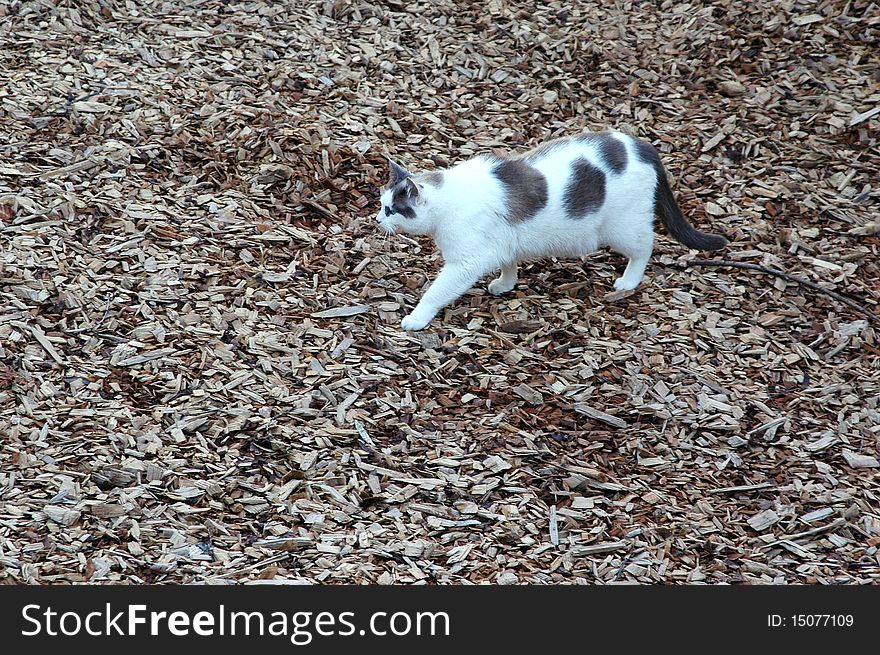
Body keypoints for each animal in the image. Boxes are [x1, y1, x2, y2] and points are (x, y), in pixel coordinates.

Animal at [378, 131, 728, 334]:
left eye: (391, 210)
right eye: (382, 205)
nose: (377, 219)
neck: (448, 199)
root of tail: (641, 145)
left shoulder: (465, 263)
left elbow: (435, 293)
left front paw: (417, 318)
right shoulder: (502, 243)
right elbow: (509, 263)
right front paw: (505, 284)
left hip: (622, 227)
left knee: (645, 246)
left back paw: (628, 281)